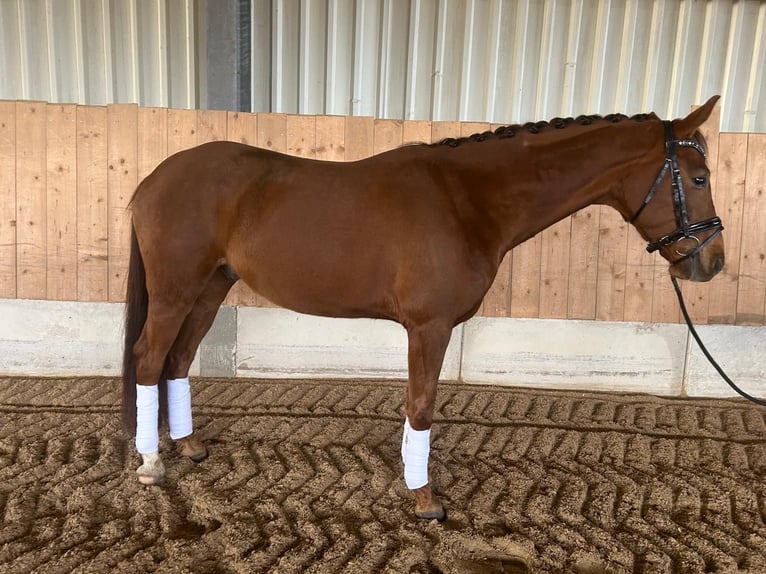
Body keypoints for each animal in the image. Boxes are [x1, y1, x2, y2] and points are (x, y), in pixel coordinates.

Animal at [121, 95, 728, 520]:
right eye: (698, 177)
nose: (712, 262)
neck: (467, 199)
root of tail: (153, 180)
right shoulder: (429, 328)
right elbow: (422, 407)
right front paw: (425, 500)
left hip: (211, 288)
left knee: (178, 360)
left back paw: (190, 448)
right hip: (177, 290)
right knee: (149, 358)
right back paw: (151, 464)